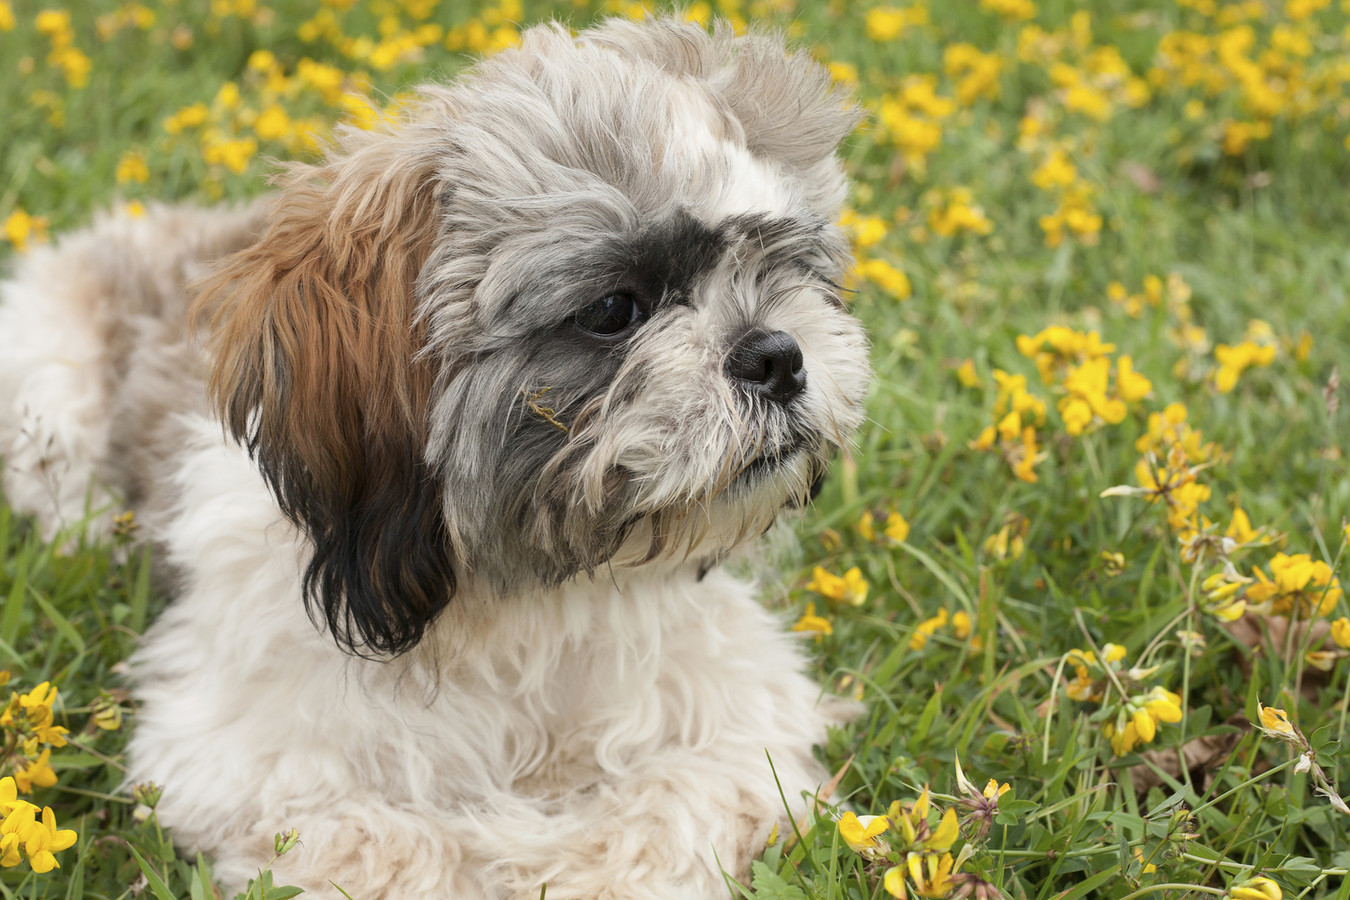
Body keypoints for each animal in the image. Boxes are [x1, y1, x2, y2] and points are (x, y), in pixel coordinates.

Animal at [0, 15, 869, 900]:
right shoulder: (242, 767)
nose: (776, 354)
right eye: (614, 309)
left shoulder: (741, 725)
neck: (522, 593)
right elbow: (404, 851)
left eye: (783, 270)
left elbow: (655, 819)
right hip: (43, 375)